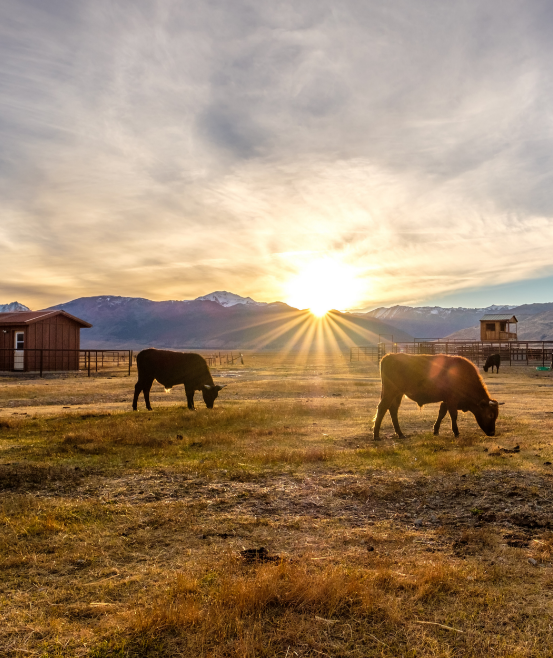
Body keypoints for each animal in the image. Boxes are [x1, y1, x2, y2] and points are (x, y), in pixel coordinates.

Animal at [374, 352, 502, 438]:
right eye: (490, 414)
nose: (492, 433)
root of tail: (388, 357)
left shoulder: (445, 401)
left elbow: (441, 414)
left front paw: (435, 430)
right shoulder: (452, 401)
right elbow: (453, 415)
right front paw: (456, 432)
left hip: (398, 394)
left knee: (393, 409)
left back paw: (400, 434)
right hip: (390, 392)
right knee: (382, 408)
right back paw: (376, 435)